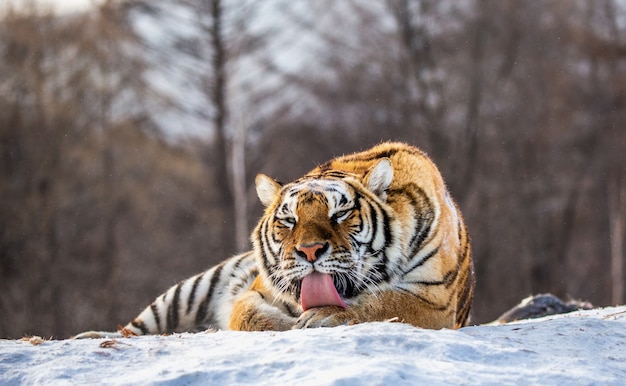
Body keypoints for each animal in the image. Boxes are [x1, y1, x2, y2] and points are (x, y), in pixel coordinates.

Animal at [74, 142, 472, 338]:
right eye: (288, 220)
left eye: (339, 215)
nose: (309, 251)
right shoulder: (257, 289)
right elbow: (247, 314)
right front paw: (290, 324)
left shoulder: (433, 300)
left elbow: (383, 303)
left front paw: (321, 317)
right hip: (189, 290)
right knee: (134, 329)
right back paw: (89, 337)